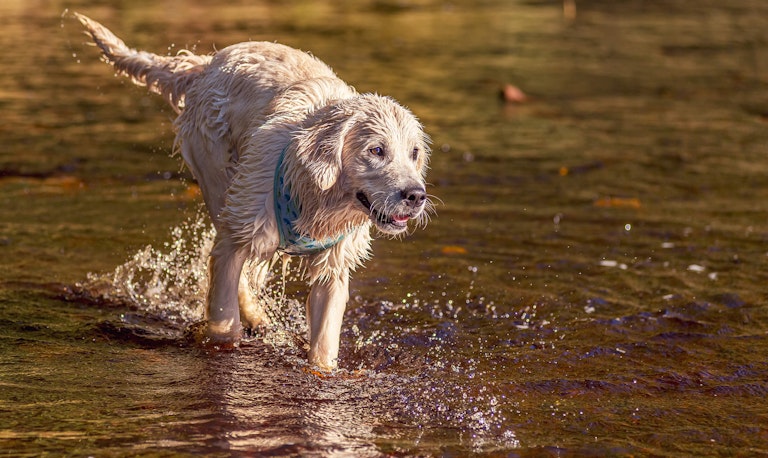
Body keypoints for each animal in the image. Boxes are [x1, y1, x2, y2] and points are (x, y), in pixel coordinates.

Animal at [76, 13, 432, 372]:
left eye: (414, 153)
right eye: (376, 150)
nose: (416, 196)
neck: (314, 194)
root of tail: (205, 64)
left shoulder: (333, 268)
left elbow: (324, 342)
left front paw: (323, 370)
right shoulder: (241, 233)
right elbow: (223, 318)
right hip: (220, 185)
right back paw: (255, 315)